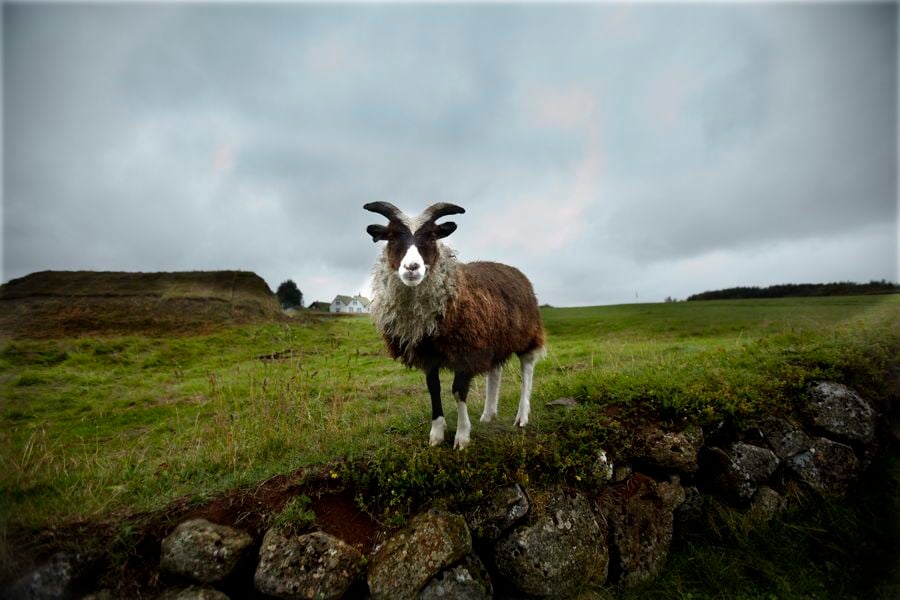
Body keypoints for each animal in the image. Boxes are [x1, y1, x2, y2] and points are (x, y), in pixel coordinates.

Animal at [362, 203, 544, 450]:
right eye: (390, 236)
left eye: (432, 236)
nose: (412, 267)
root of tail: (516, 271)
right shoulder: (429, 354)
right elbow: (434, 389)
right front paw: (437, 434)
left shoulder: (467, 351)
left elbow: (458, 392)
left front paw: (462, 436)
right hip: (493, 338)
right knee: (494, 372)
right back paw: (488, 414)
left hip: (527, 333)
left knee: (527, 369)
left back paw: (522, 416)